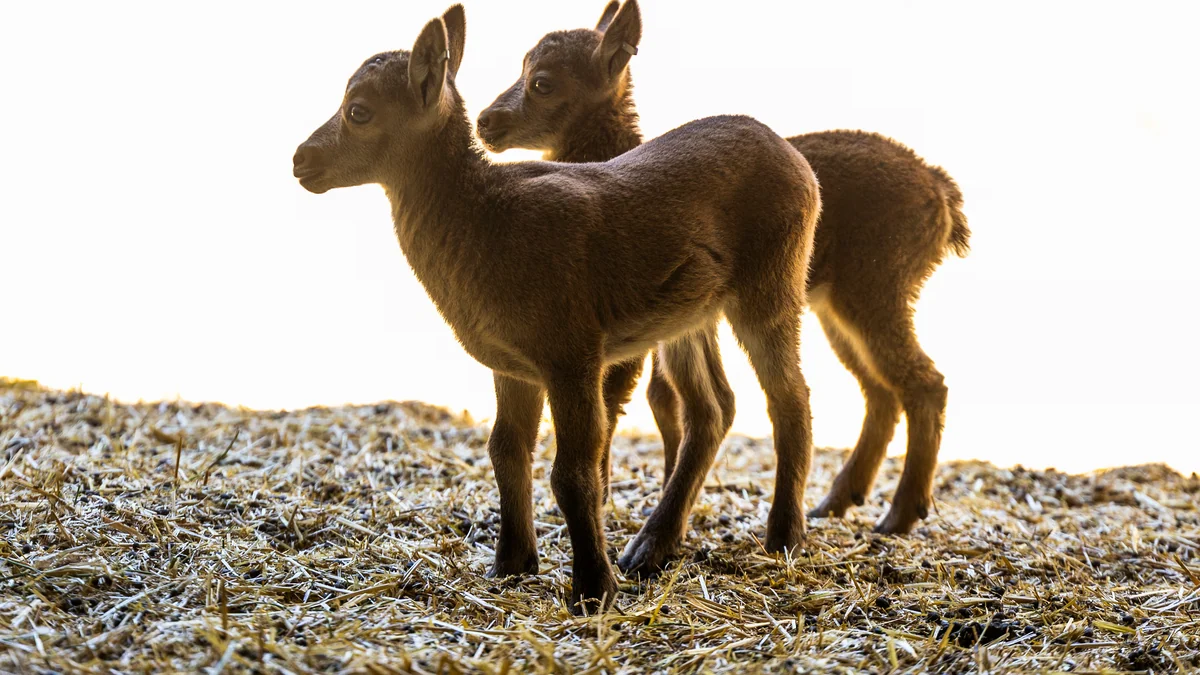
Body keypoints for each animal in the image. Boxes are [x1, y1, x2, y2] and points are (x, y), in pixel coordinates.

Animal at [293, 4, 821, 612]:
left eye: (358, 111)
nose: (300, 160)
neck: (485, 220)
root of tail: (795, 158)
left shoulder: (572, 350)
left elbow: (573, 472)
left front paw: (593, 588)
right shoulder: (512, 363)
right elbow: (506, 451)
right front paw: (511, 565)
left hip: (772, 283)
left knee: (790, 397)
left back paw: (783, 535)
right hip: (690, 312)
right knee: (713, 408)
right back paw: (653, 545)